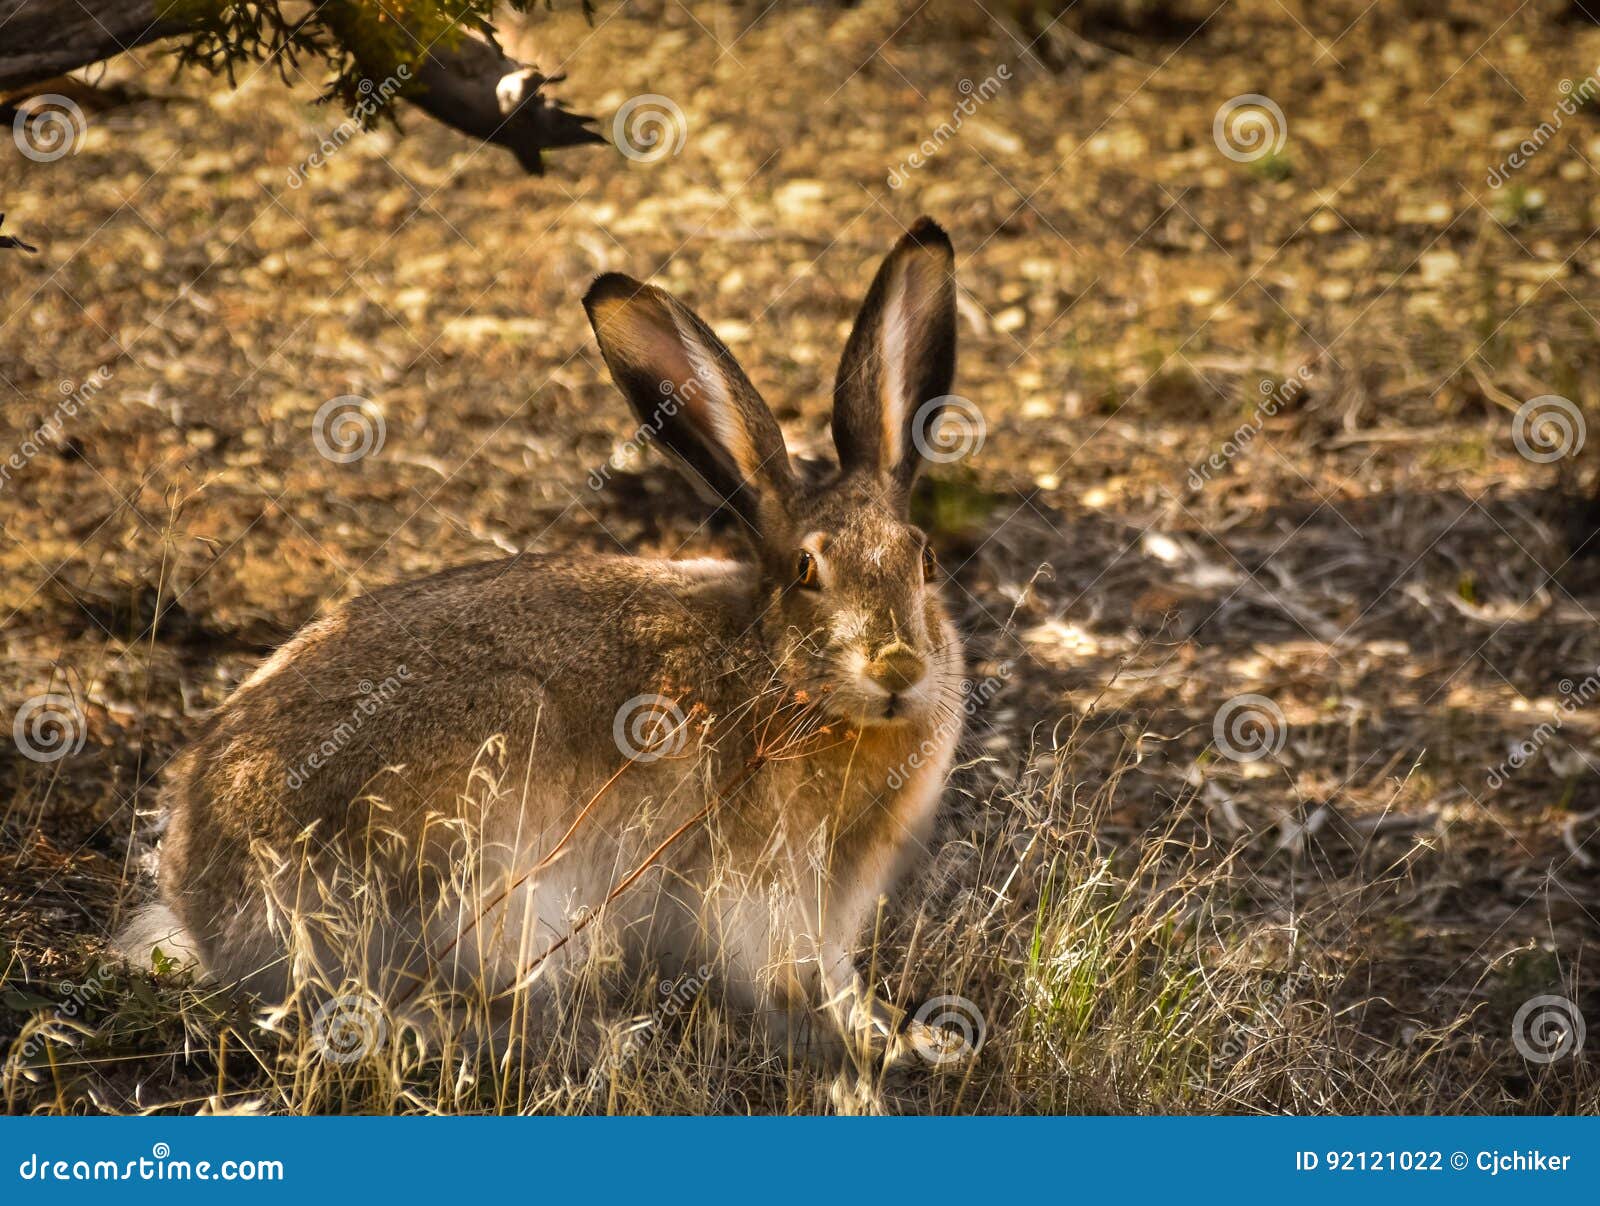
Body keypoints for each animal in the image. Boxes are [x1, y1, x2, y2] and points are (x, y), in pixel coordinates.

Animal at [123, 217, 970, 1069]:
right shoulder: (761, 884)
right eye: (806, 570)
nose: (897, 667)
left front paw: (903, 1031)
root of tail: (205, 900)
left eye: (925, 560)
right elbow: (780, 977)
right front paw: (866, 1041)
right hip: (489, 838)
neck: (780, 669)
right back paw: (601, 1040)